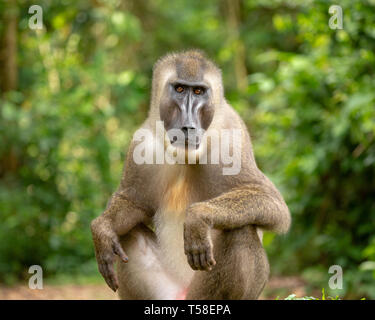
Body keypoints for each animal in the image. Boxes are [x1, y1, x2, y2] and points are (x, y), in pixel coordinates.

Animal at [90, 50, 290, 300]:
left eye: (198, 92)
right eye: (179, 89)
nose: (188, 126)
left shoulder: (233, 137)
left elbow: (270, 201)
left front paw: (198, 217)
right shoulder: (141, 144)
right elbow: (132, 203)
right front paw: (102, 230)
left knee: (241, 231)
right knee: (128, 233)